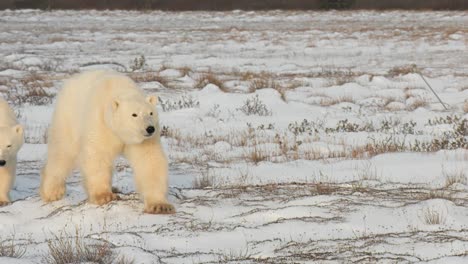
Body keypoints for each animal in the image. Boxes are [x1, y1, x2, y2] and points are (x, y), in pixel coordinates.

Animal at [39, 70, 175, 214]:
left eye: (151, 113)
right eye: (134, 114)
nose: (150, 128)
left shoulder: (144, 141)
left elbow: (149, 160)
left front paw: (160, 205)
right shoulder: (100, 123)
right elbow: (98, 155)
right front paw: (103, 196)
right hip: (68, 118)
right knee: (62, 153)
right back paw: (52, 192)